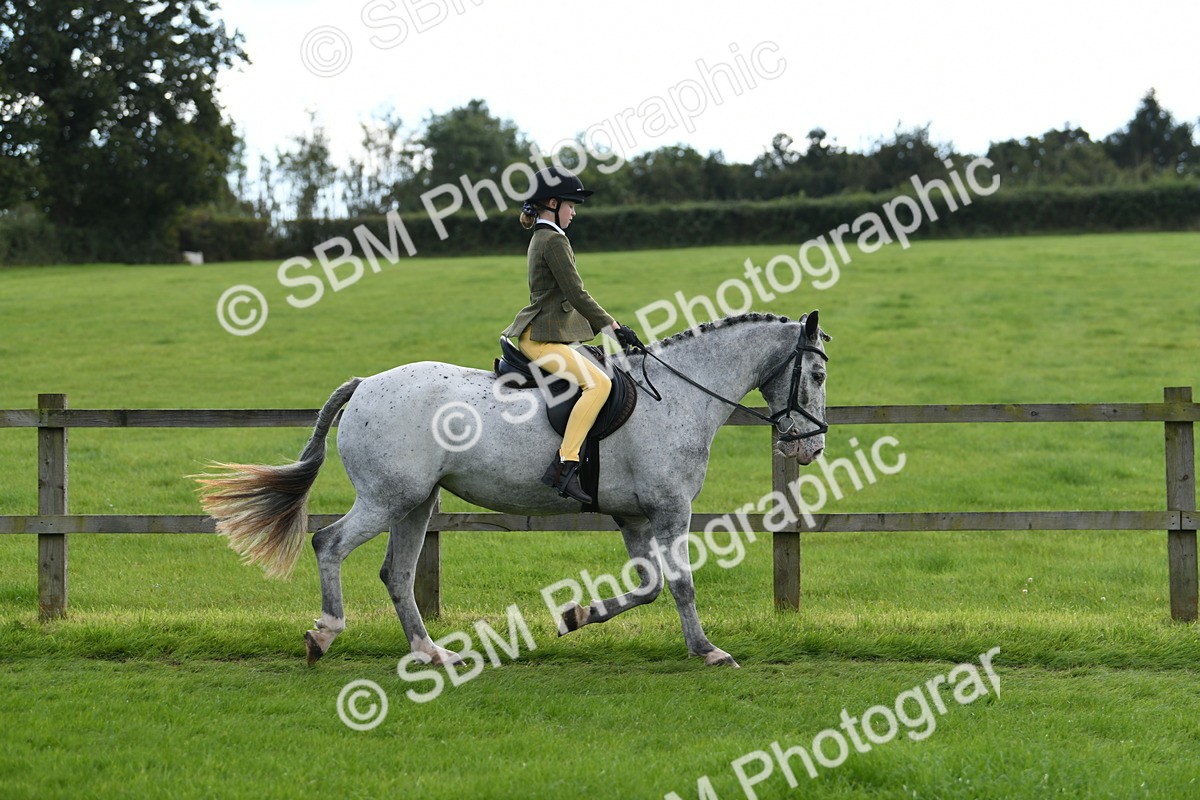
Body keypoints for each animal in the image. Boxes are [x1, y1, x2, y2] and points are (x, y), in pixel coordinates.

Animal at [194, 310, 831, 668]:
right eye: (819, 373)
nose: (810, 448)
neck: (678, 395)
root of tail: (366, 384)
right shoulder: (669, 509)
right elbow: (679, 583)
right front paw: (708, 651)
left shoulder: (633, 515)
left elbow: (650, 586)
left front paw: (577, 615)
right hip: (386, 498)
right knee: (329, 544)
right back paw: (324, 636)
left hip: (416, 503)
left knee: (397, 574)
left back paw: (431, 653)